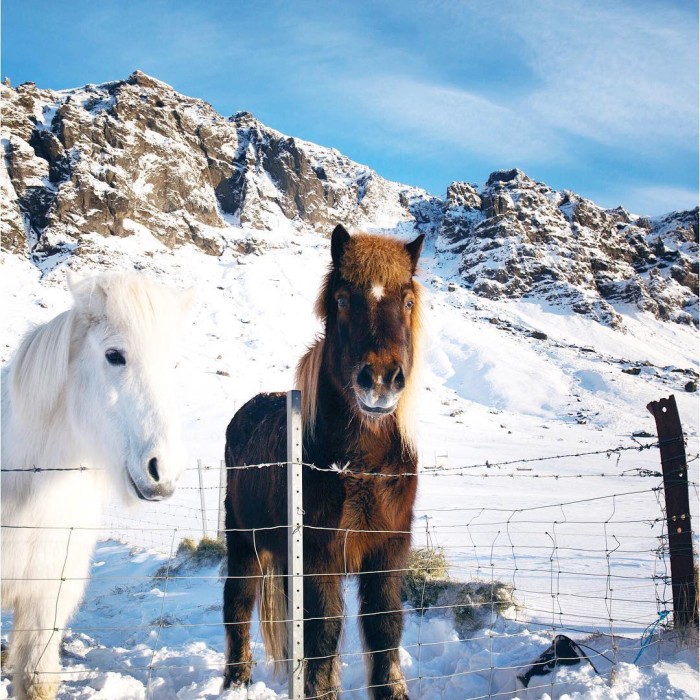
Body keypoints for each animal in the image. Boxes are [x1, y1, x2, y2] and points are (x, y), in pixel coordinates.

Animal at [223, 224, 424, 699]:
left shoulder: (389, 549)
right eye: (343, 299)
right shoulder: (318, 555)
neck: (360, 467)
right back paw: (236, 680)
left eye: (407, 301)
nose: (381, 381)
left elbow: (385, 625)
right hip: (243, 542)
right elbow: (322, 631)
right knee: (236, 604)